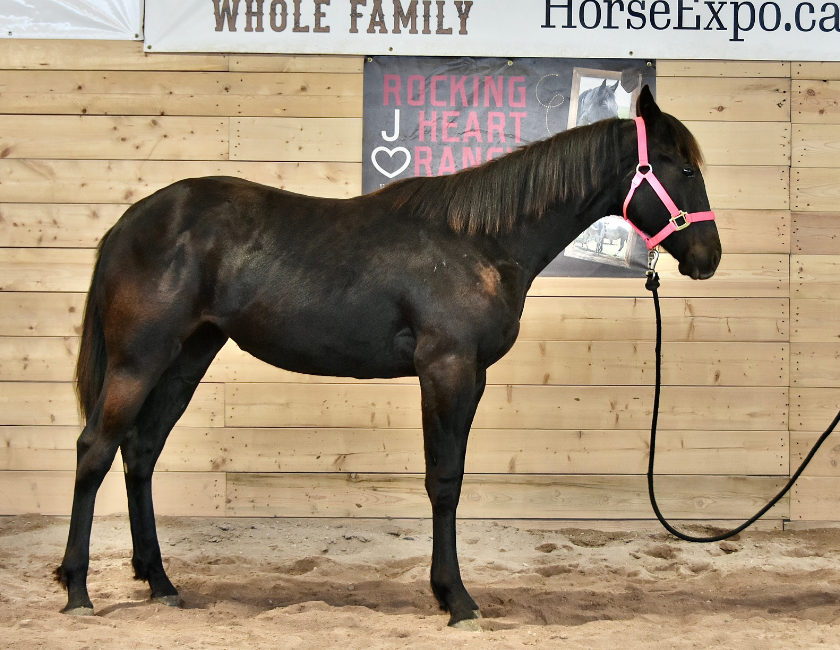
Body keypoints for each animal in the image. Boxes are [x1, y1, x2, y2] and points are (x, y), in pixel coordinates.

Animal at [55, 87, 720, 630]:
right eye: (685, 167)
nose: (708, 257)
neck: (479, 242)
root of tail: (130, 222)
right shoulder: (449, 370)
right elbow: (444, 480)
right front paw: (456, 600)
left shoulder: (466, 376)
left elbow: (448, 476)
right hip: (139, 361)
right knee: (95, 449)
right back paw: (78, 590)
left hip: (186, 359)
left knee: (140, 453)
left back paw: (160, 583)